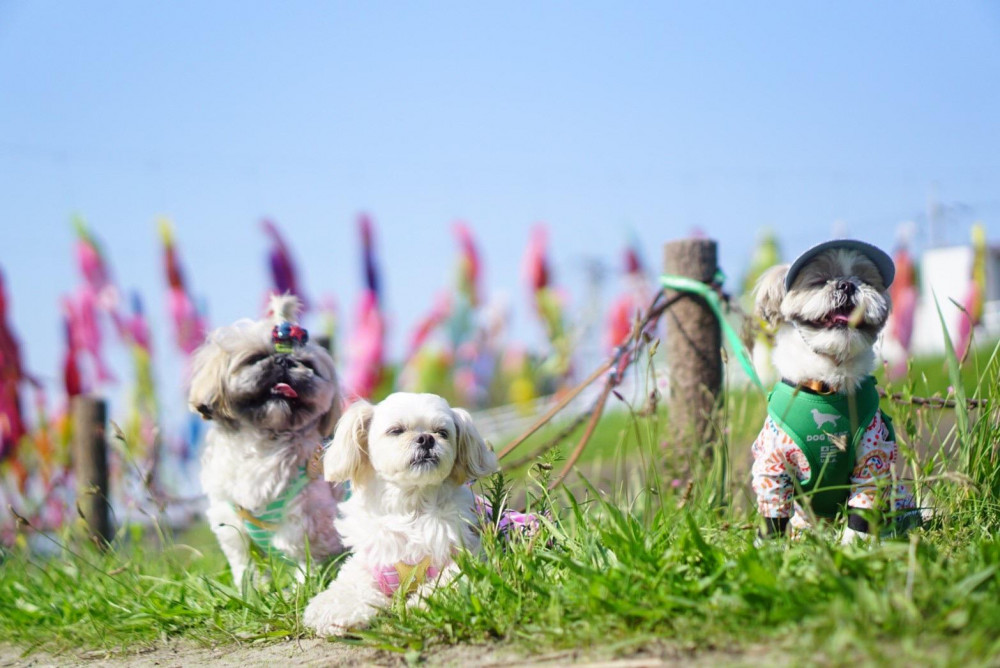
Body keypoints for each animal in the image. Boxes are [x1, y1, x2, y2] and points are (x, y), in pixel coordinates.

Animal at [190, 296, 348, 584]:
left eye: (307, 365)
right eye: (256, 358)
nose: (284, 361)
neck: (265, 443)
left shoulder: (310, 524)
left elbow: (307, 563)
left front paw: (301, 588)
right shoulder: (233, 525)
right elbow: (245, 566)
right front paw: (250, 590)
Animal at [300, 392, 496, 636]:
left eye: (442, 432)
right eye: (396, 430)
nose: (426, 439)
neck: (411, 507)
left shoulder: (467, 557)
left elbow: (453, 579)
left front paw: (425, 603)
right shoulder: (368, 566)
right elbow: (347, 590)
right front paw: (338, 614)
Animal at [752, 240, 916, 544]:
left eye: (865, 280)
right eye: (818, 281)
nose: (847, 284)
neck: (826, 385)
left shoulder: (872, 455)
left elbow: (863, 503)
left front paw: (853, 545)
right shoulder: (772, 463)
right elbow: (773, 509)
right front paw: (770, 546)